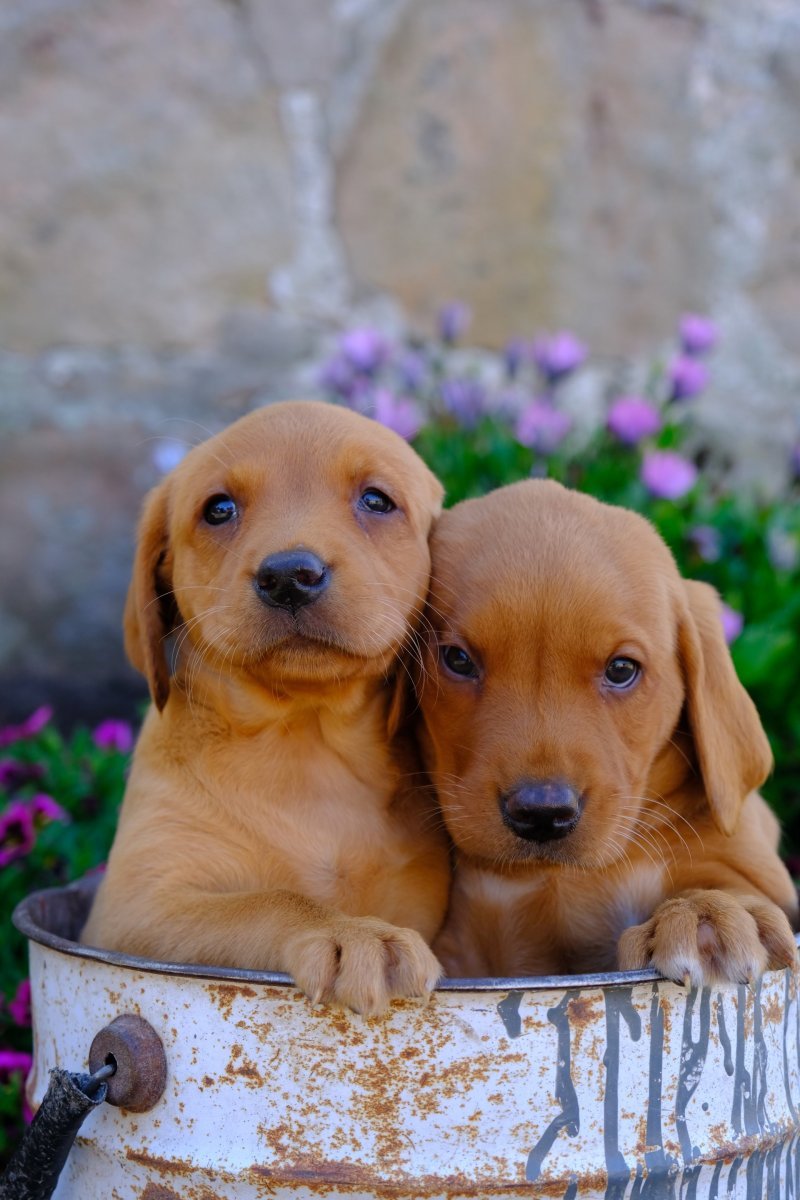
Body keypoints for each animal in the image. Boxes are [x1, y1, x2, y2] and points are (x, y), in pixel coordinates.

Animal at [86, 403, 453, 1012]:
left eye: (377, 500)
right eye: (219, 509)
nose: (290, 576)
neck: (304, 742)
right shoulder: (134, 909)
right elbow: (266, 900)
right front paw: (349, 932)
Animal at [417, 477, 796, 984]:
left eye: (621, 670)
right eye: (457, 659)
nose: (542, 813)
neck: (548, 876)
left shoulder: (750, 863)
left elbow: (727, 882)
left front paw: (708, 914)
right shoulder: (464, 947)